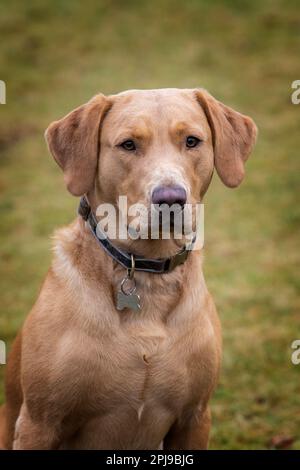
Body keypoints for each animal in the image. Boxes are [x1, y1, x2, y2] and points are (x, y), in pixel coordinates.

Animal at [0, 86, 256, 450]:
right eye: (128, 145)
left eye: (192, 141)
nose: (170, 198)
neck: (147, 272)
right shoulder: (39, 423)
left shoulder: (195, 418)